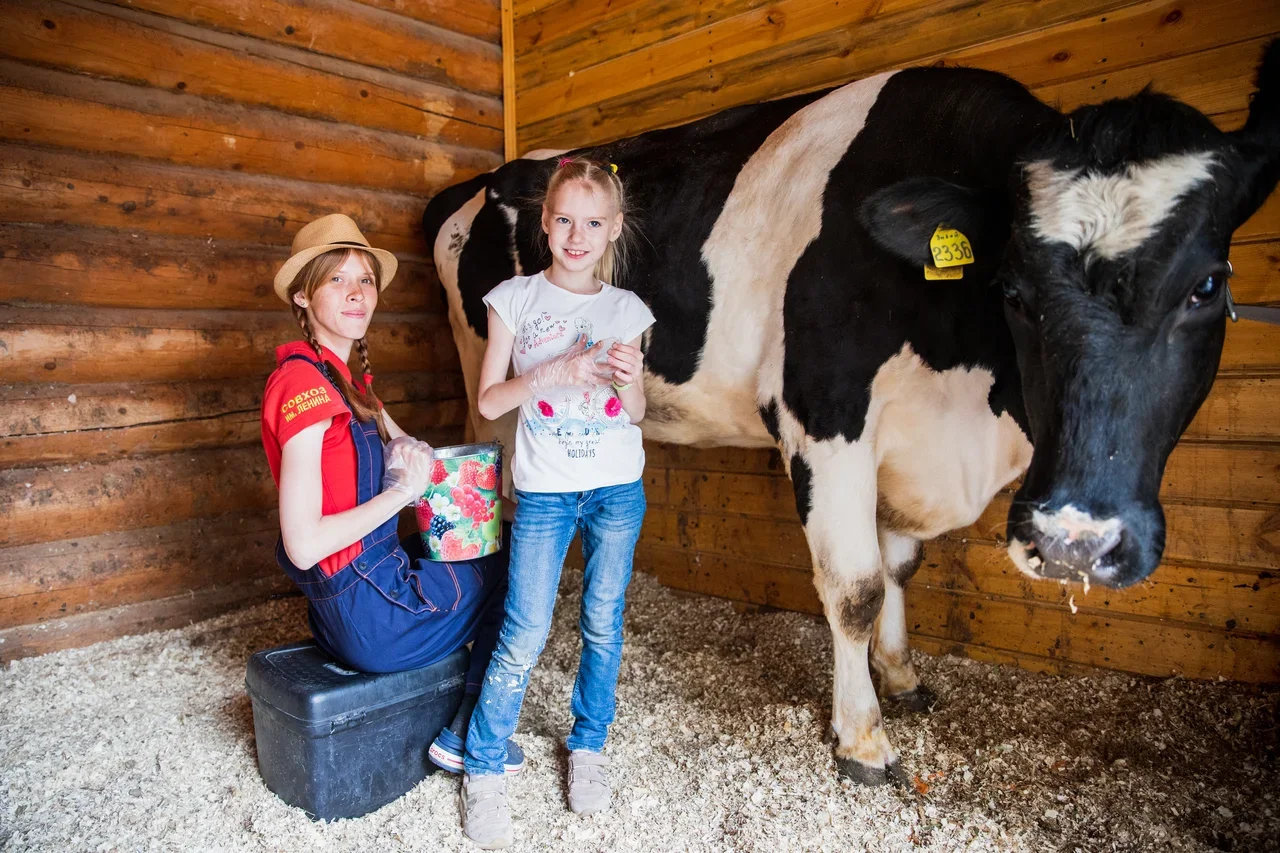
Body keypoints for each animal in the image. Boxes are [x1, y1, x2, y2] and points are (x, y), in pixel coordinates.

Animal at [424, 43, 1280, 778]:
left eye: (1208, 286)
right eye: (1013, 289)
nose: (1076, 541)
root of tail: (489, 178)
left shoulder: (910, 439)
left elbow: (900, 565)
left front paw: (901, 677)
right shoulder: (825, 415)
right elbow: (856, 584)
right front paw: (862, 735)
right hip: (483, 381)